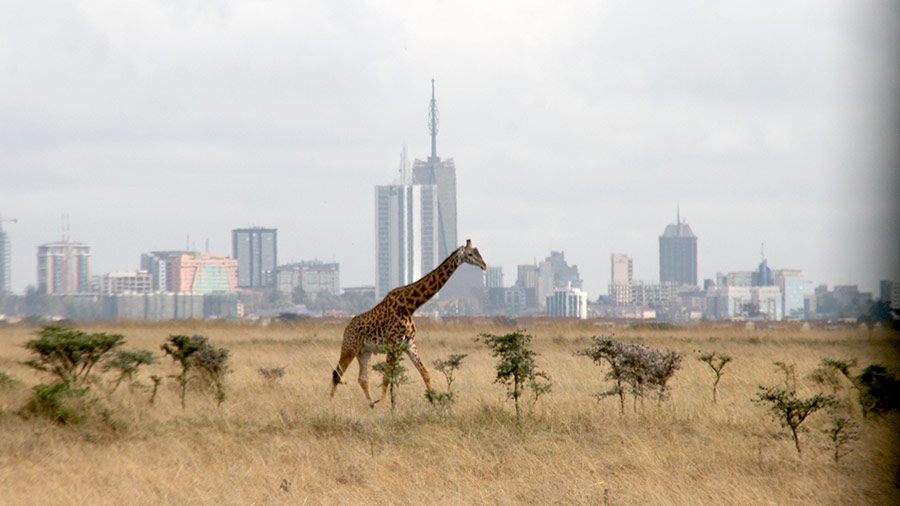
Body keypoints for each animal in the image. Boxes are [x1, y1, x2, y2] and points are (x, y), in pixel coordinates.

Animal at [328, 238, 486, 408]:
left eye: (478, 251)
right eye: (470, 254)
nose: (484, 266)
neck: (410, 306)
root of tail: (347, 327)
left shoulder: (409, 343)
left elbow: (425, 373)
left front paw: (433, 402)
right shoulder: (393, 343)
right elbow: (387, 377)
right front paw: (386, 406)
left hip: (364, 352)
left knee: (362, 379)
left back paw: (371, 405)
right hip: (349, 348)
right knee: (337, 374)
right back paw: (331, 403)